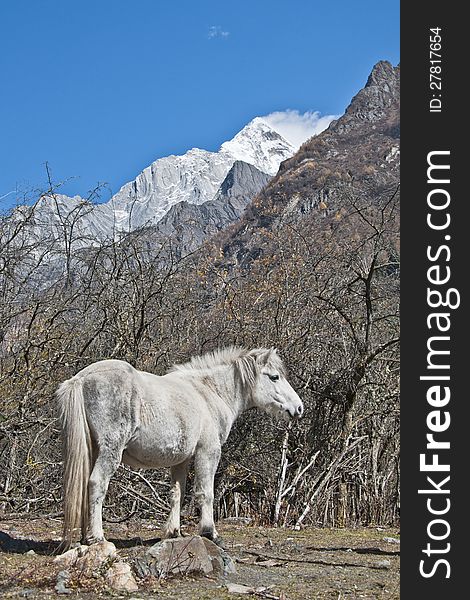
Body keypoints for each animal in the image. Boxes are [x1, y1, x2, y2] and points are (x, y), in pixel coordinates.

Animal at [57, 346, 302, 548]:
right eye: (274, 377)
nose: (298, 408)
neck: (208, 393)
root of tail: (80, 379)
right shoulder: (208, 452)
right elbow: (205, 493)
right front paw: (210, 533)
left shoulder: (181, 460)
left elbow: (177, 493)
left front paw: (173, 531)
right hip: (110, 451)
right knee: (97, 483)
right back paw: (98, 537)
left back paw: (85, 537)